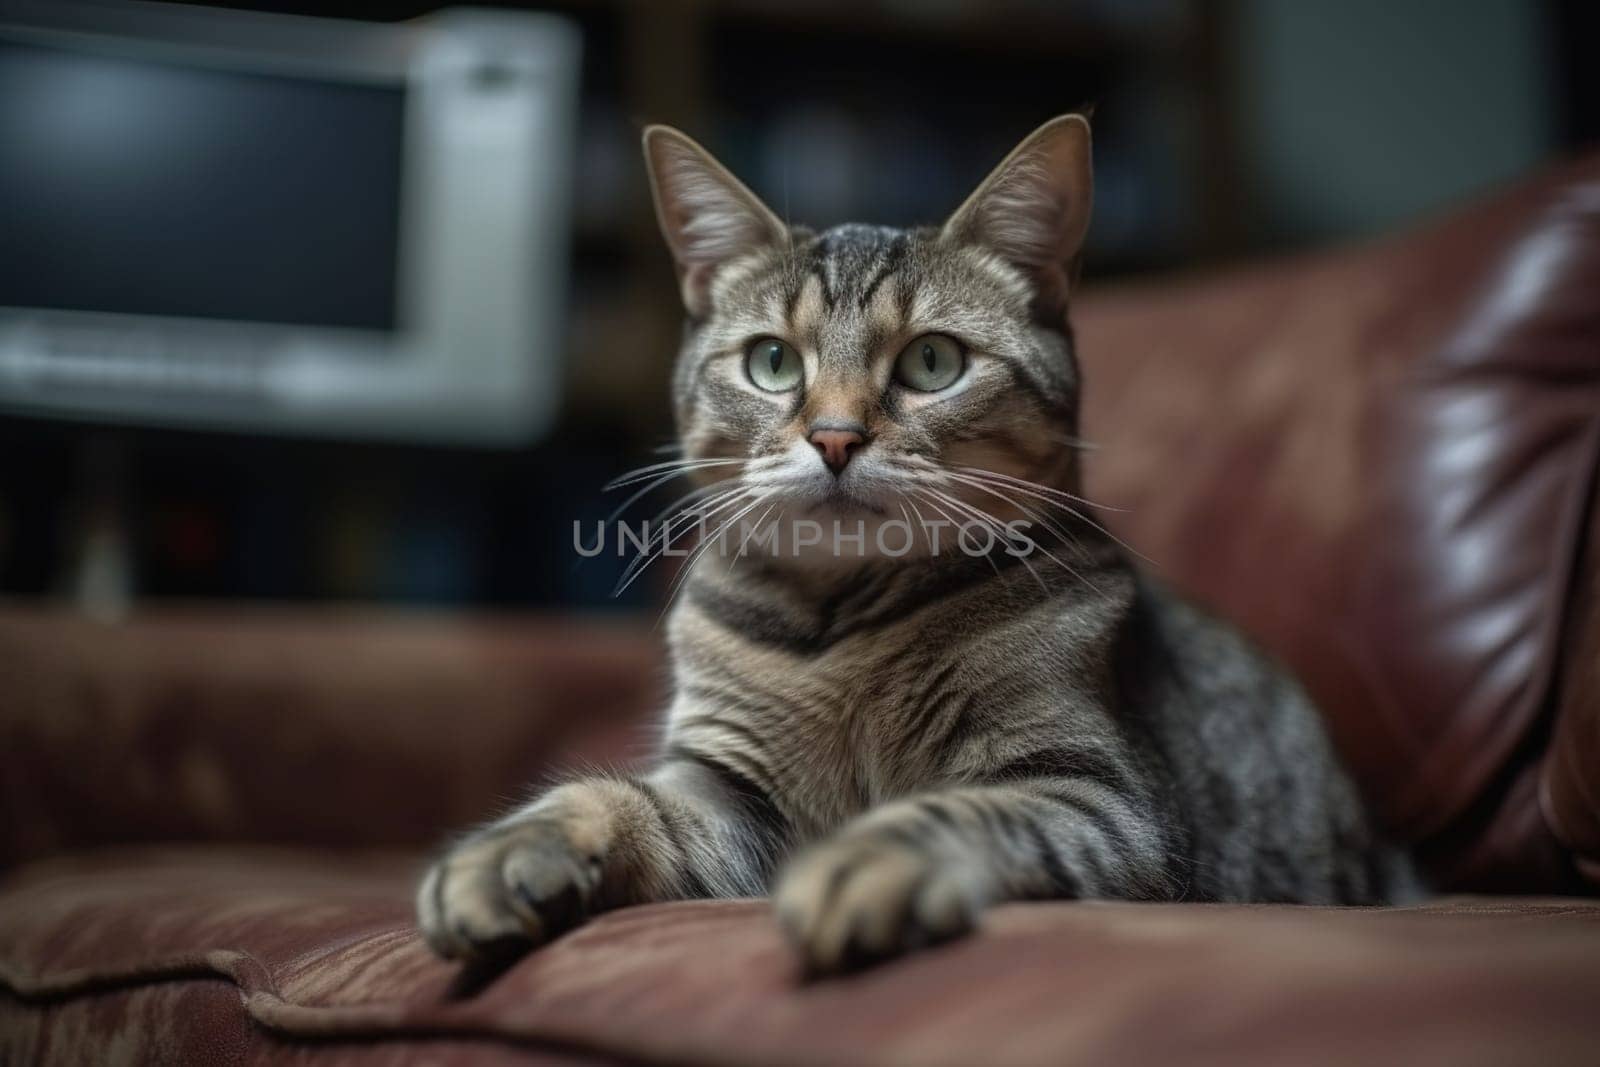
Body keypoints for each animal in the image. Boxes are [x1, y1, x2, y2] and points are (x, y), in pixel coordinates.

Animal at [419, 115, 1420, 979]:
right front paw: (506, 850)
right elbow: (621, 797)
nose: (834, 437)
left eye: (933, 362)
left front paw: (863, 858)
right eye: (772, 362)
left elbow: (960, 811)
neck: (837, 631)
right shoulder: (727, 784)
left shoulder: (1100, 792)